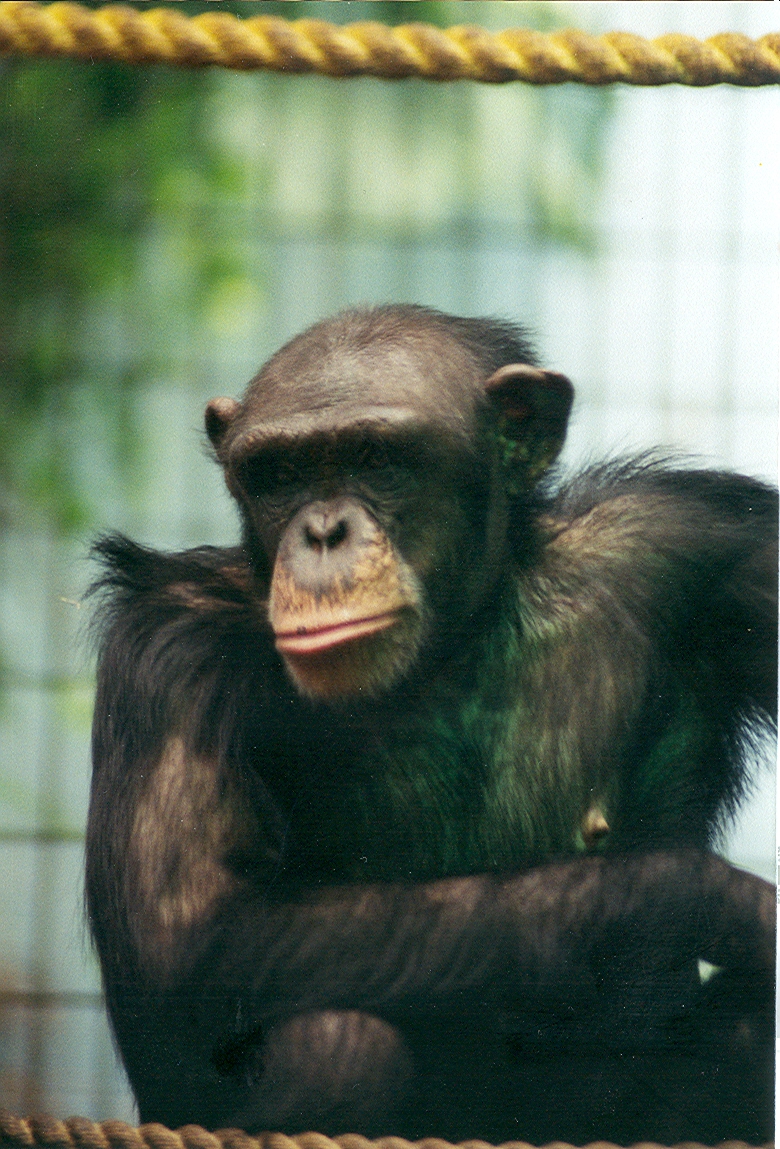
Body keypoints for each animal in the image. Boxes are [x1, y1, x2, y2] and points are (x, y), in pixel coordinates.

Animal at [87, 304, 776, 1145]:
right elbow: (190, 937)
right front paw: (701, 895)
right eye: (279, 474)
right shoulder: (169, 644)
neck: (450, 640)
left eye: (376, 458)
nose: (323, 532)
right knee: (339, 1049)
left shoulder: (702, 540)